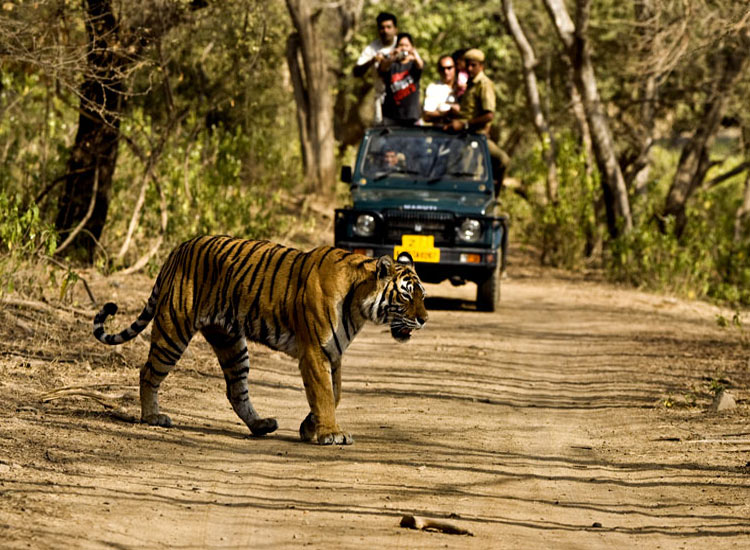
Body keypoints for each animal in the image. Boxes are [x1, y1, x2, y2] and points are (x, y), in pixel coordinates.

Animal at [93, 236, 428, 445]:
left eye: (423, 295)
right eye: (406, 294)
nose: (425, 319)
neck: (359, 304)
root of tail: (179, 249)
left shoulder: (335, 354)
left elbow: (335, 394)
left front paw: (310, 427)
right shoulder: (315, 351)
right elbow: (324, 394)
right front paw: (330, 433)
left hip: (231, 343)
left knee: (235, 391)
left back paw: (261, 425)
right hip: (174, 329)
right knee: (148, 372)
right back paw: (153, 416)